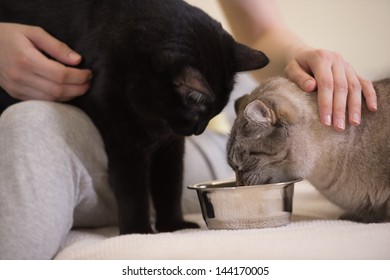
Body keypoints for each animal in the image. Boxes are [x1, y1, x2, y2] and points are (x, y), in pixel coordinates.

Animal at [0, 0, 268, 234]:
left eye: (213, 114)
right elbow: (132, 188)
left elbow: (169, 182)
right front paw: (137, 231)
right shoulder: (124, 139)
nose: (199, 130)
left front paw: (173, 226)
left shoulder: (170, 145)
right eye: (198, 115)